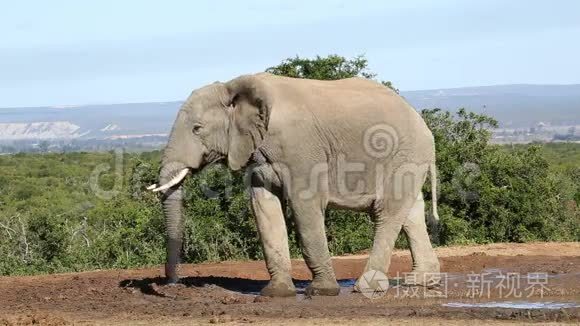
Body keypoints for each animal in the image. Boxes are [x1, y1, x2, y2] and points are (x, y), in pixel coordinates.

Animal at [148, 72, 440, 296]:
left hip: (404, 154)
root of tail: (422, 122)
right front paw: (276, 293)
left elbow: (305, 207)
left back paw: (367, 288)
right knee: (411, 213)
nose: (173, 285)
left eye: (197, 128)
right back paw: (422, 282)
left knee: (386, 212)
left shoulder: (301, 149)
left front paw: (321, 292)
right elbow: (264, 208)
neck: (235, 85)